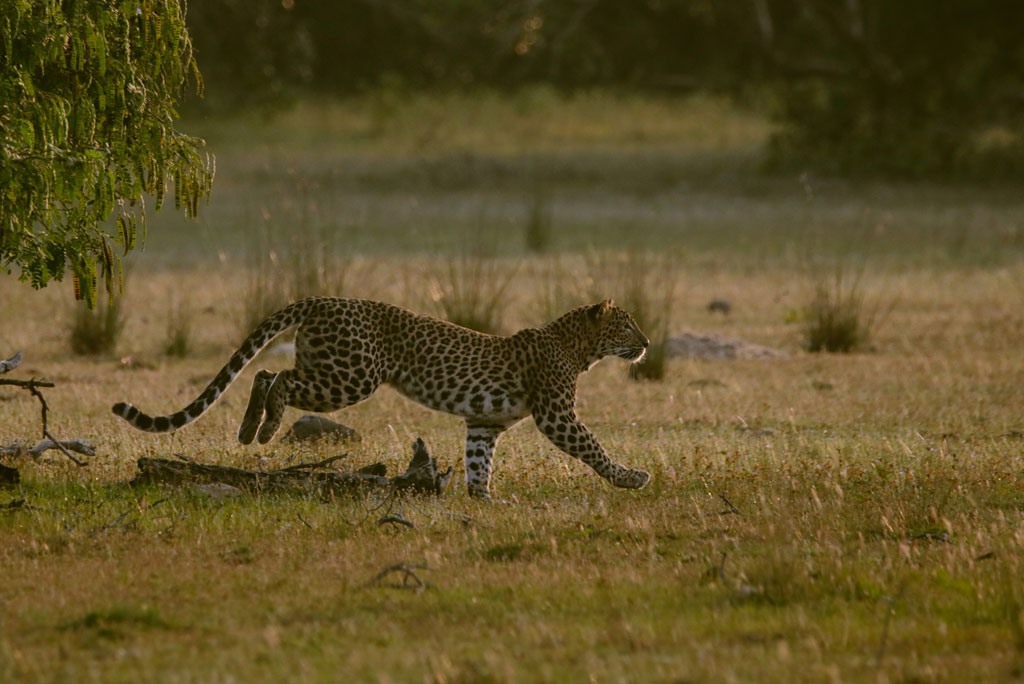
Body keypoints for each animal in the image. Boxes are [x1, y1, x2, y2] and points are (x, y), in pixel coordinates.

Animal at [112, 297, 652, 498]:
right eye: (627, 325)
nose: (647, 342)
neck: (580, 348)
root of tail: (322, 298)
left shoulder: (484, 424)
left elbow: (479, 462)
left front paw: (485, 501)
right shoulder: (557, 414)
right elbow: (594, 448)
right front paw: (632, 478)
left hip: (333, 369)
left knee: (265, 370)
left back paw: (248, 430)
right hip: (350, 377)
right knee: (276, 377)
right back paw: (262, 430)